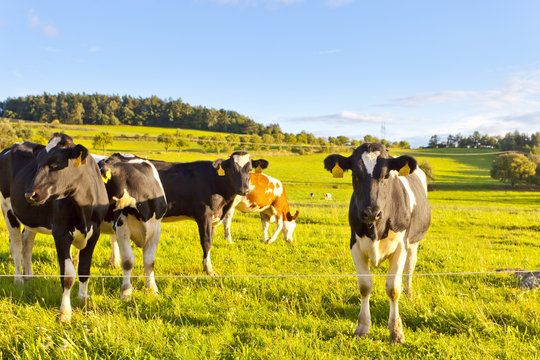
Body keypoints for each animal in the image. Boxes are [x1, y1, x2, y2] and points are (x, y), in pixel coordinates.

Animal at [0, 134, 108, 322]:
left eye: (56, 163)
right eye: (37, 164)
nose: (30, 194)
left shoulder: (95, 232)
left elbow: (84, 269)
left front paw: (83, 299)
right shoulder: (61, 233)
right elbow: (68, 275)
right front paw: (64, 313)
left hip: (31, 219)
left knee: (27, 245)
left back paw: (29, 278)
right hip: (8, 209)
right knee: (16, 247)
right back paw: (19, 280)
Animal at [95, 153, 167, 298]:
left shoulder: (156, 230)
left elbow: (149, 262)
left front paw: (153, 289)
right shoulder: (122, 228)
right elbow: (128, 262)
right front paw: (126, 292)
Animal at [322, 143, 432, 344]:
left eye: (386, 175)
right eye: (355, 175)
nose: (371, 212)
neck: (376, 229)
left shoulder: (401, 246)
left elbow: (393, 288)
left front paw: (396, 332)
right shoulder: (355, 246)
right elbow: (365, 286)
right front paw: (362, 327)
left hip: (414, 243)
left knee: (410, 268)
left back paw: (409, 294)